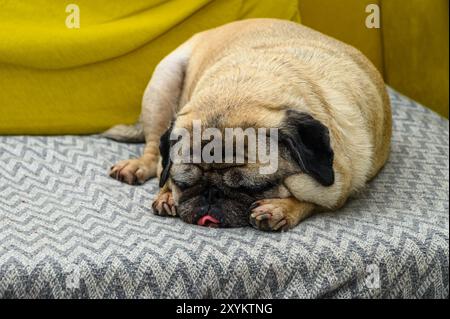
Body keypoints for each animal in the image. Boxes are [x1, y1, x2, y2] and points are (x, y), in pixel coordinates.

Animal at [104, 18, 390, 232]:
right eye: (183, 183)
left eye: (255, 188)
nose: (211, 195)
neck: (243, 91)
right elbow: (165, 171)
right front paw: (165, 194)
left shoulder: (343, 183)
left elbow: (314, 198)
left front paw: (280, 208)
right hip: (163, 83)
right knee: (154, 150)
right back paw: (138, 166)